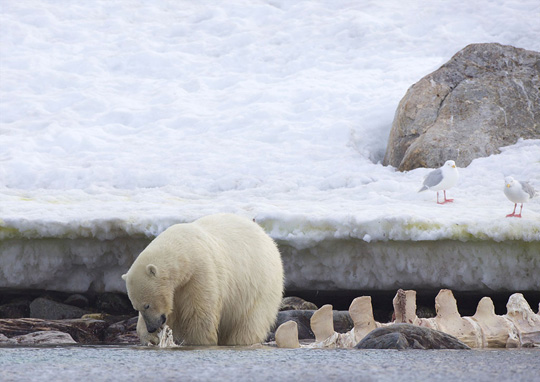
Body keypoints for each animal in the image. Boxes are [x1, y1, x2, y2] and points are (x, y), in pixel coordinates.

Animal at [121, 213, 284, 344]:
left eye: (147, 305)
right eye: (136, 307)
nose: (152, 327)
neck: (185, 251)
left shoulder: (200, 273)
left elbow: (199, 315)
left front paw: (196, 342)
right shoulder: (178, 287)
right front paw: (151, 338)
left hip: (260, 287)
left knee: (249, 323)